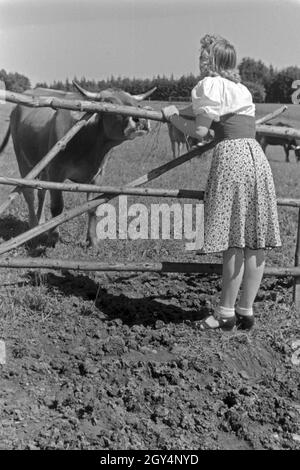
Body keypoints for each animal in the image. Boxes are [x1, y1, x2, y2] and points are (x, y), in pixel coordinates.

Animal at [0, 82, 155, 248]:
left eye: (137, 104)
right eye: (110, 102)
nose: (141, 120)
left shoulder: (97, 175)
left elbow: (93, 207)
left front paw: (93, 240)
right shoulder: (56, 172)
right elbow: (57, 207)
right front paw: (53, 238)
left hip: (43, 166)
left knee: (41, 193)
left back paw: (40, 223)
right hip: (24, 160)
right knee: (29, 193)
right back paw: (34, 227)